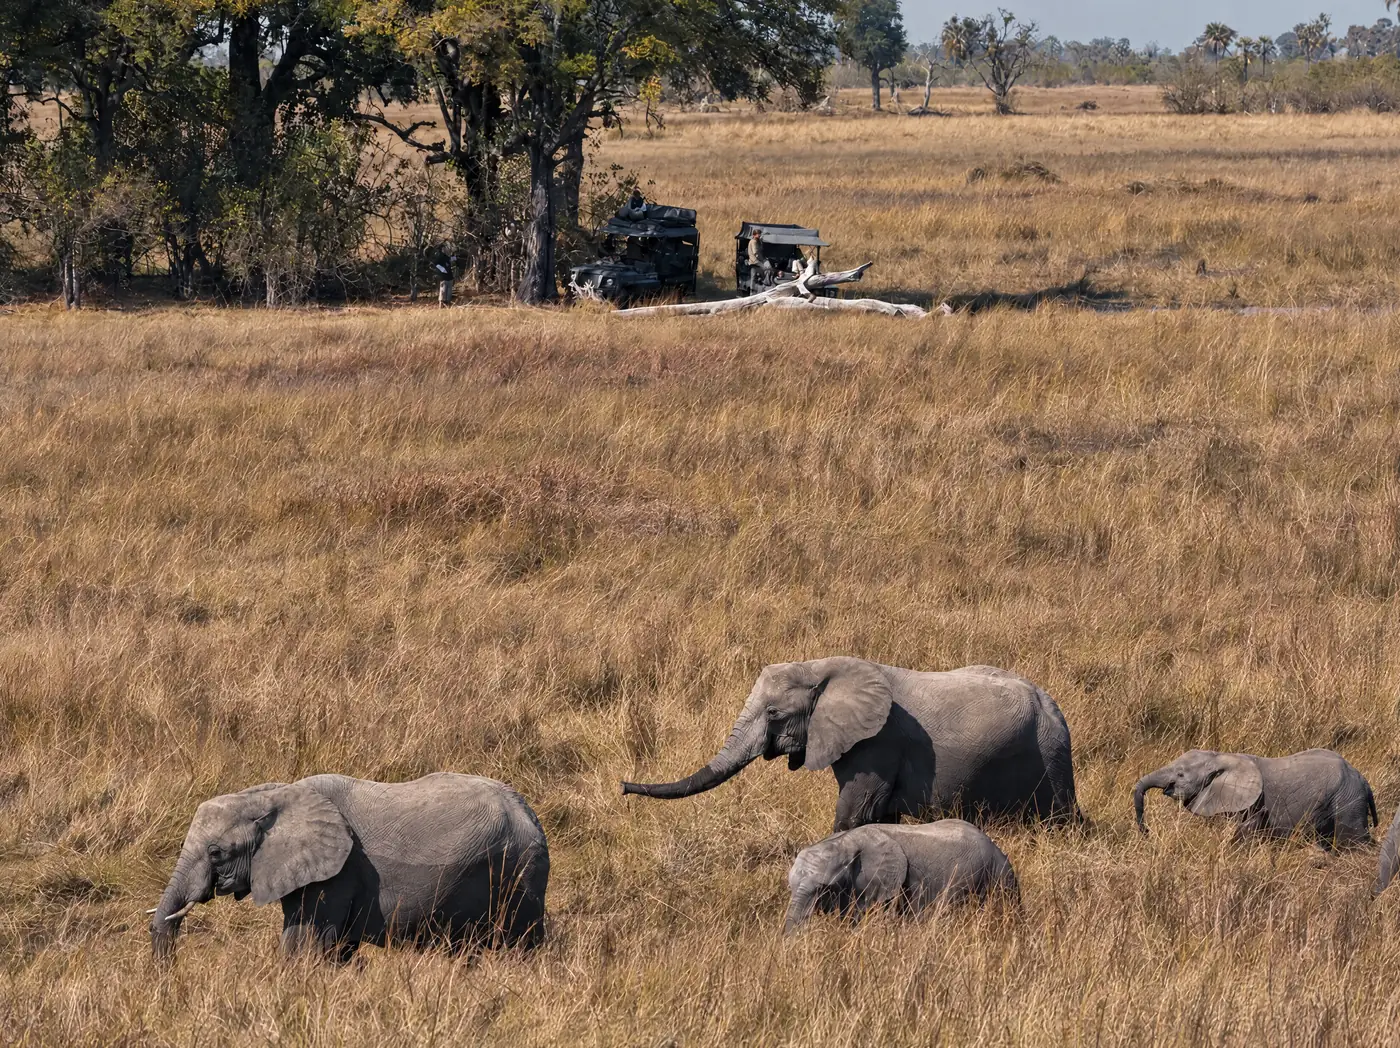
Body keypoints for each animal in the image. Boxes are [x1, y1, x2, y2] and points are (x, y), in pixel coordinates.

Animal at [149, 772, 549, 962]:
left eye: (216, 853)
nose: (169, 975)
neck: (276, 794)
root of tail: (528, 813)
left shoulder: (338, 872)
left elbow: (304, 944)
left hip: (517, 872)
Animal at [621, 658, 1081, 832]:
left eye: (773, 712)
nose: (623, 787)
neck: (821, 666)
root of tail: (1053, 704)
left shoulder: (877, 743)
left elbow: (855, 812)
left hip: (1048, 753)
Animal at [1133, 748, 1377, 849]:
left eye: (1181, 774)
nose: (1147, 832)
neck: (1220, 756)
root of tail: (1363, 780)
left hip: (1347, 800)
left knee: (1352, 838)